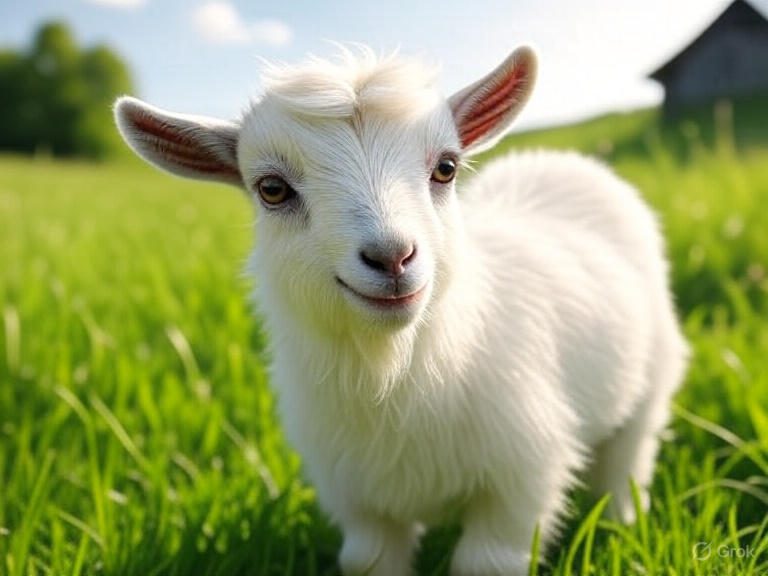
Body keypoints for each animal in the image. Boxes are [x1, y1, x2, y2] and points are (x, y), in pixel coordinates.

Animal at [114, 46, 688, 576]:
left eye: (446, 168)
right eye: (271, 189)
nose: (392, 257)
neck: (395, 374)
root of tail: (563, 161)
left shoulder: (519, 484)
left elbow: (487, 560)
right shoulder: (359, 504)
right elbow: (369, 559)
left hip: (650, 384)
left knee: (627, 462)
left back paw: (621, 526)